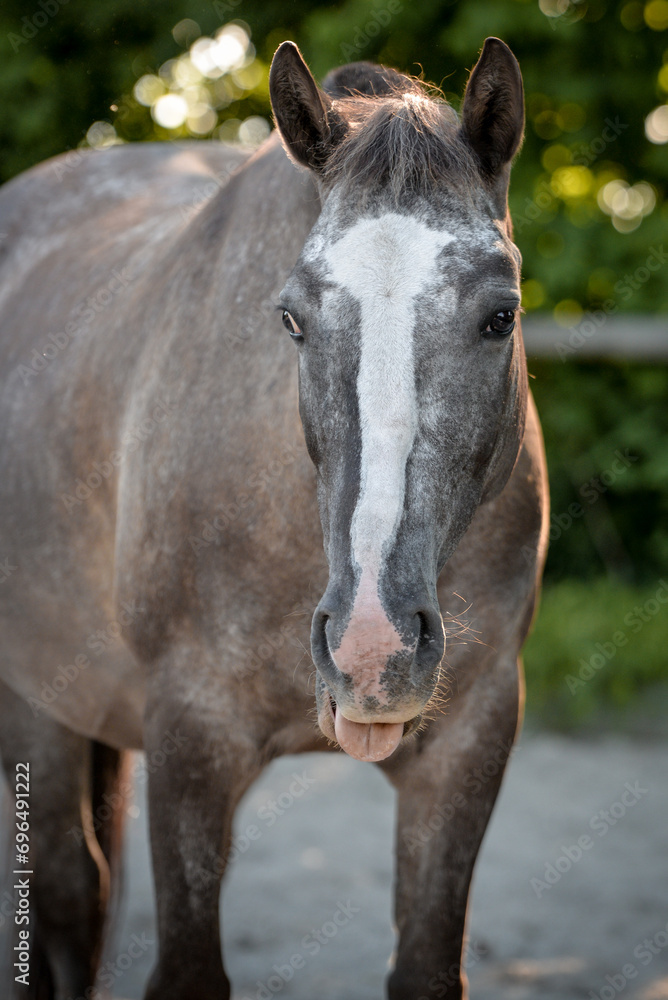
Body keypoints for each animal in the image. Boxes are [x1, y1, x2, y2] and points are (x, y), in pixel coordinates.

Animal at [0, 35, 548, 1000]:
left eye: (501, 315)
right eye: (291, 318)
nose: (372, 648)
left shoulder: (472, 740)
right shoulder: (192, 739)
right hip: (32, 706)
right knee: (64, 894)